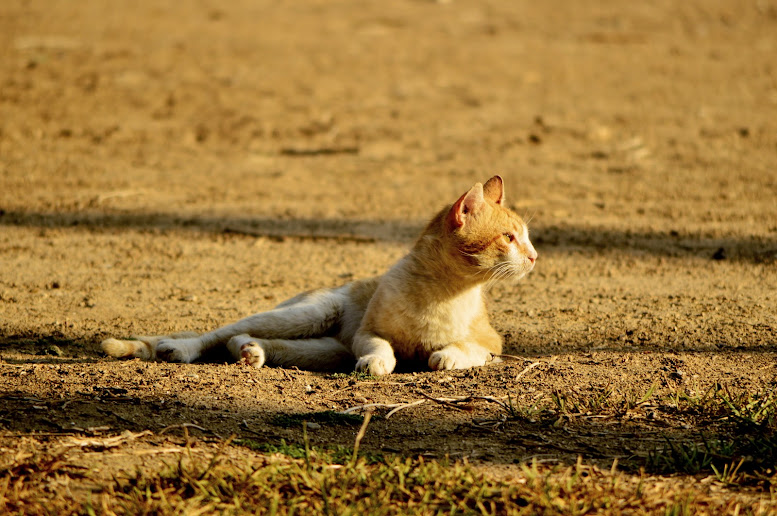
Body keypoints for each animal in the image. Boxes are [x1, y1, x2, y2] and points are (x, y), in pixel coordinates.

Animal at [100, 176, 536, 374]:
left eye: (527, 238)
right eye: (509, 237)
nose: (534, 257)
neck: (443, 292)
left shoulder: (491, 342)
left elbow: (468, 350)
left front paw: (444, 355)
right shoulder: (366, 334)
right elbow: (382, 347)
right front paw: (379, 364)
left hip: (327, 347)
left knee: (252, 341)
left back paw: (250, 352)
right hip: (310, 315)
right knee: (217, 333)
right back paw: (182, 349)